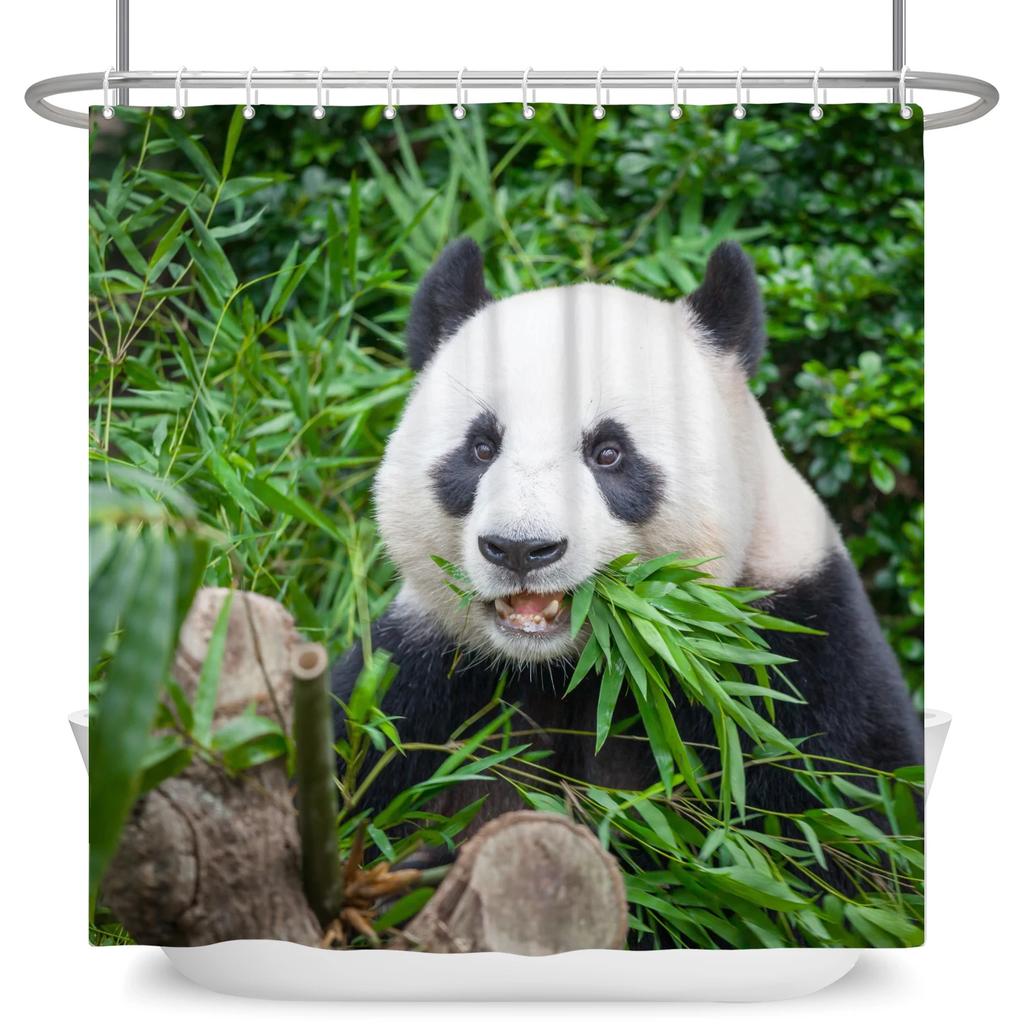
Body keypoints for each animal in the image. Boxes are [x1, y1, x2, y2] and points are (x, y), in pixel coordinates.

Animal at [332, 236, 922, 832]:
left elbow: (840, 799)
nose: (521, 548)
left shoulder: (790, 650)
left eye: (609, 452)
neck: (575, 667)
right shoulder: (422, 677)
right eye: (480, 448)